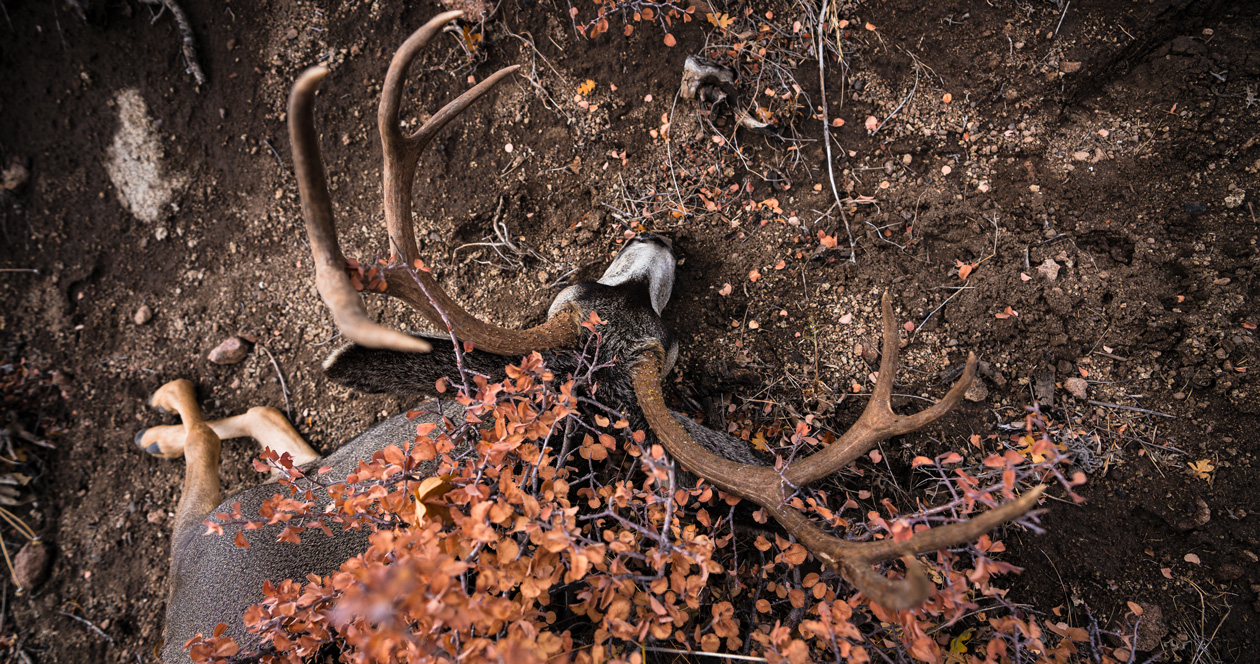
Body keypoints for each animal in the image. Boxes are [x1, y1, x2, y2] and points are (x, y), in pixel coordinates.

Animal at [136, 12, 1045, 664]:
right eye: (570, 291)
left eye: (662, 347)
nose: (657, 239)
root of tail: (190, 622)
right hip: (224, 530)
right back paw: (169, 408)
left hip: (231, 522)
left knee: (241, 439)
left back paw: (167, 413)